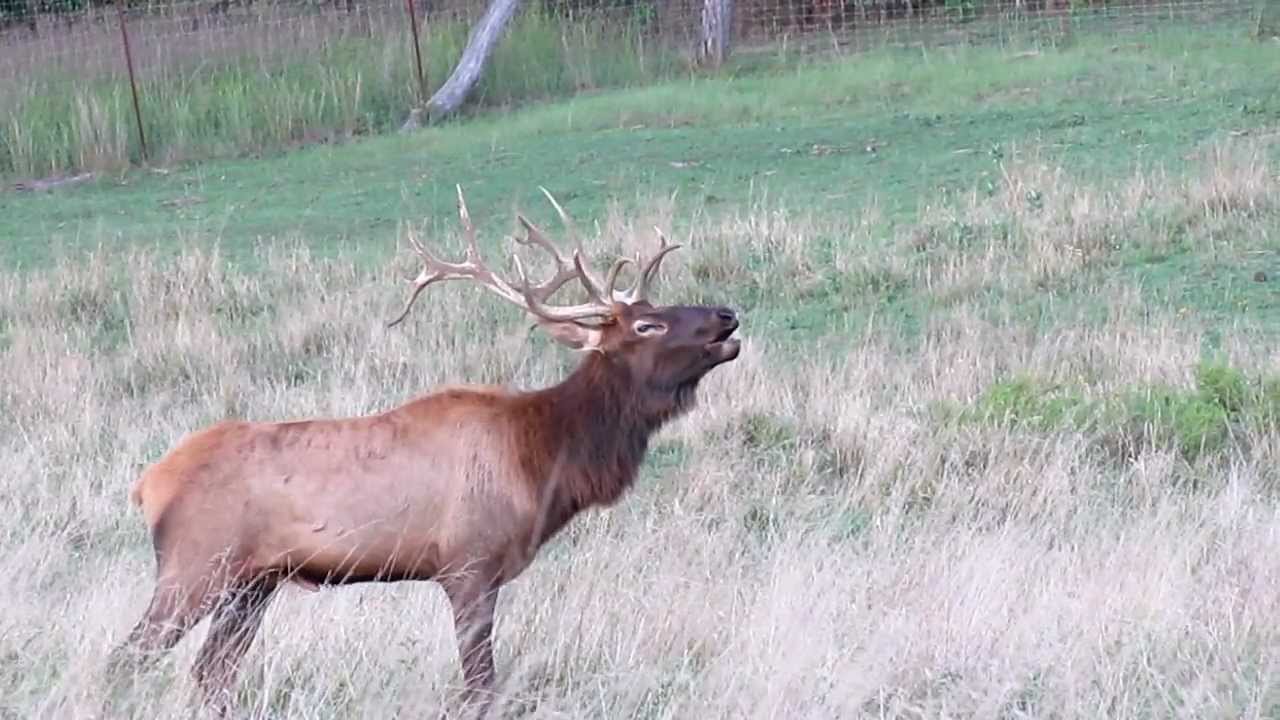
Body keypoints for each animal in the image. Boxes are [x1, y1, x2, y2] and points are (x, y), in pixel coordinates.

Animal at [106, 186, 742, 718]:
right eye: (646, 325)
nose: (727, 314)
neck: (542, 459)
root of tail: (148, 484)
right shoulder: (467, 565)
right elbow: (480, 688)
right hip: (194, 566)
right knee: (128, 661)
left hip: (250, 584)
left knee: (211, 672)